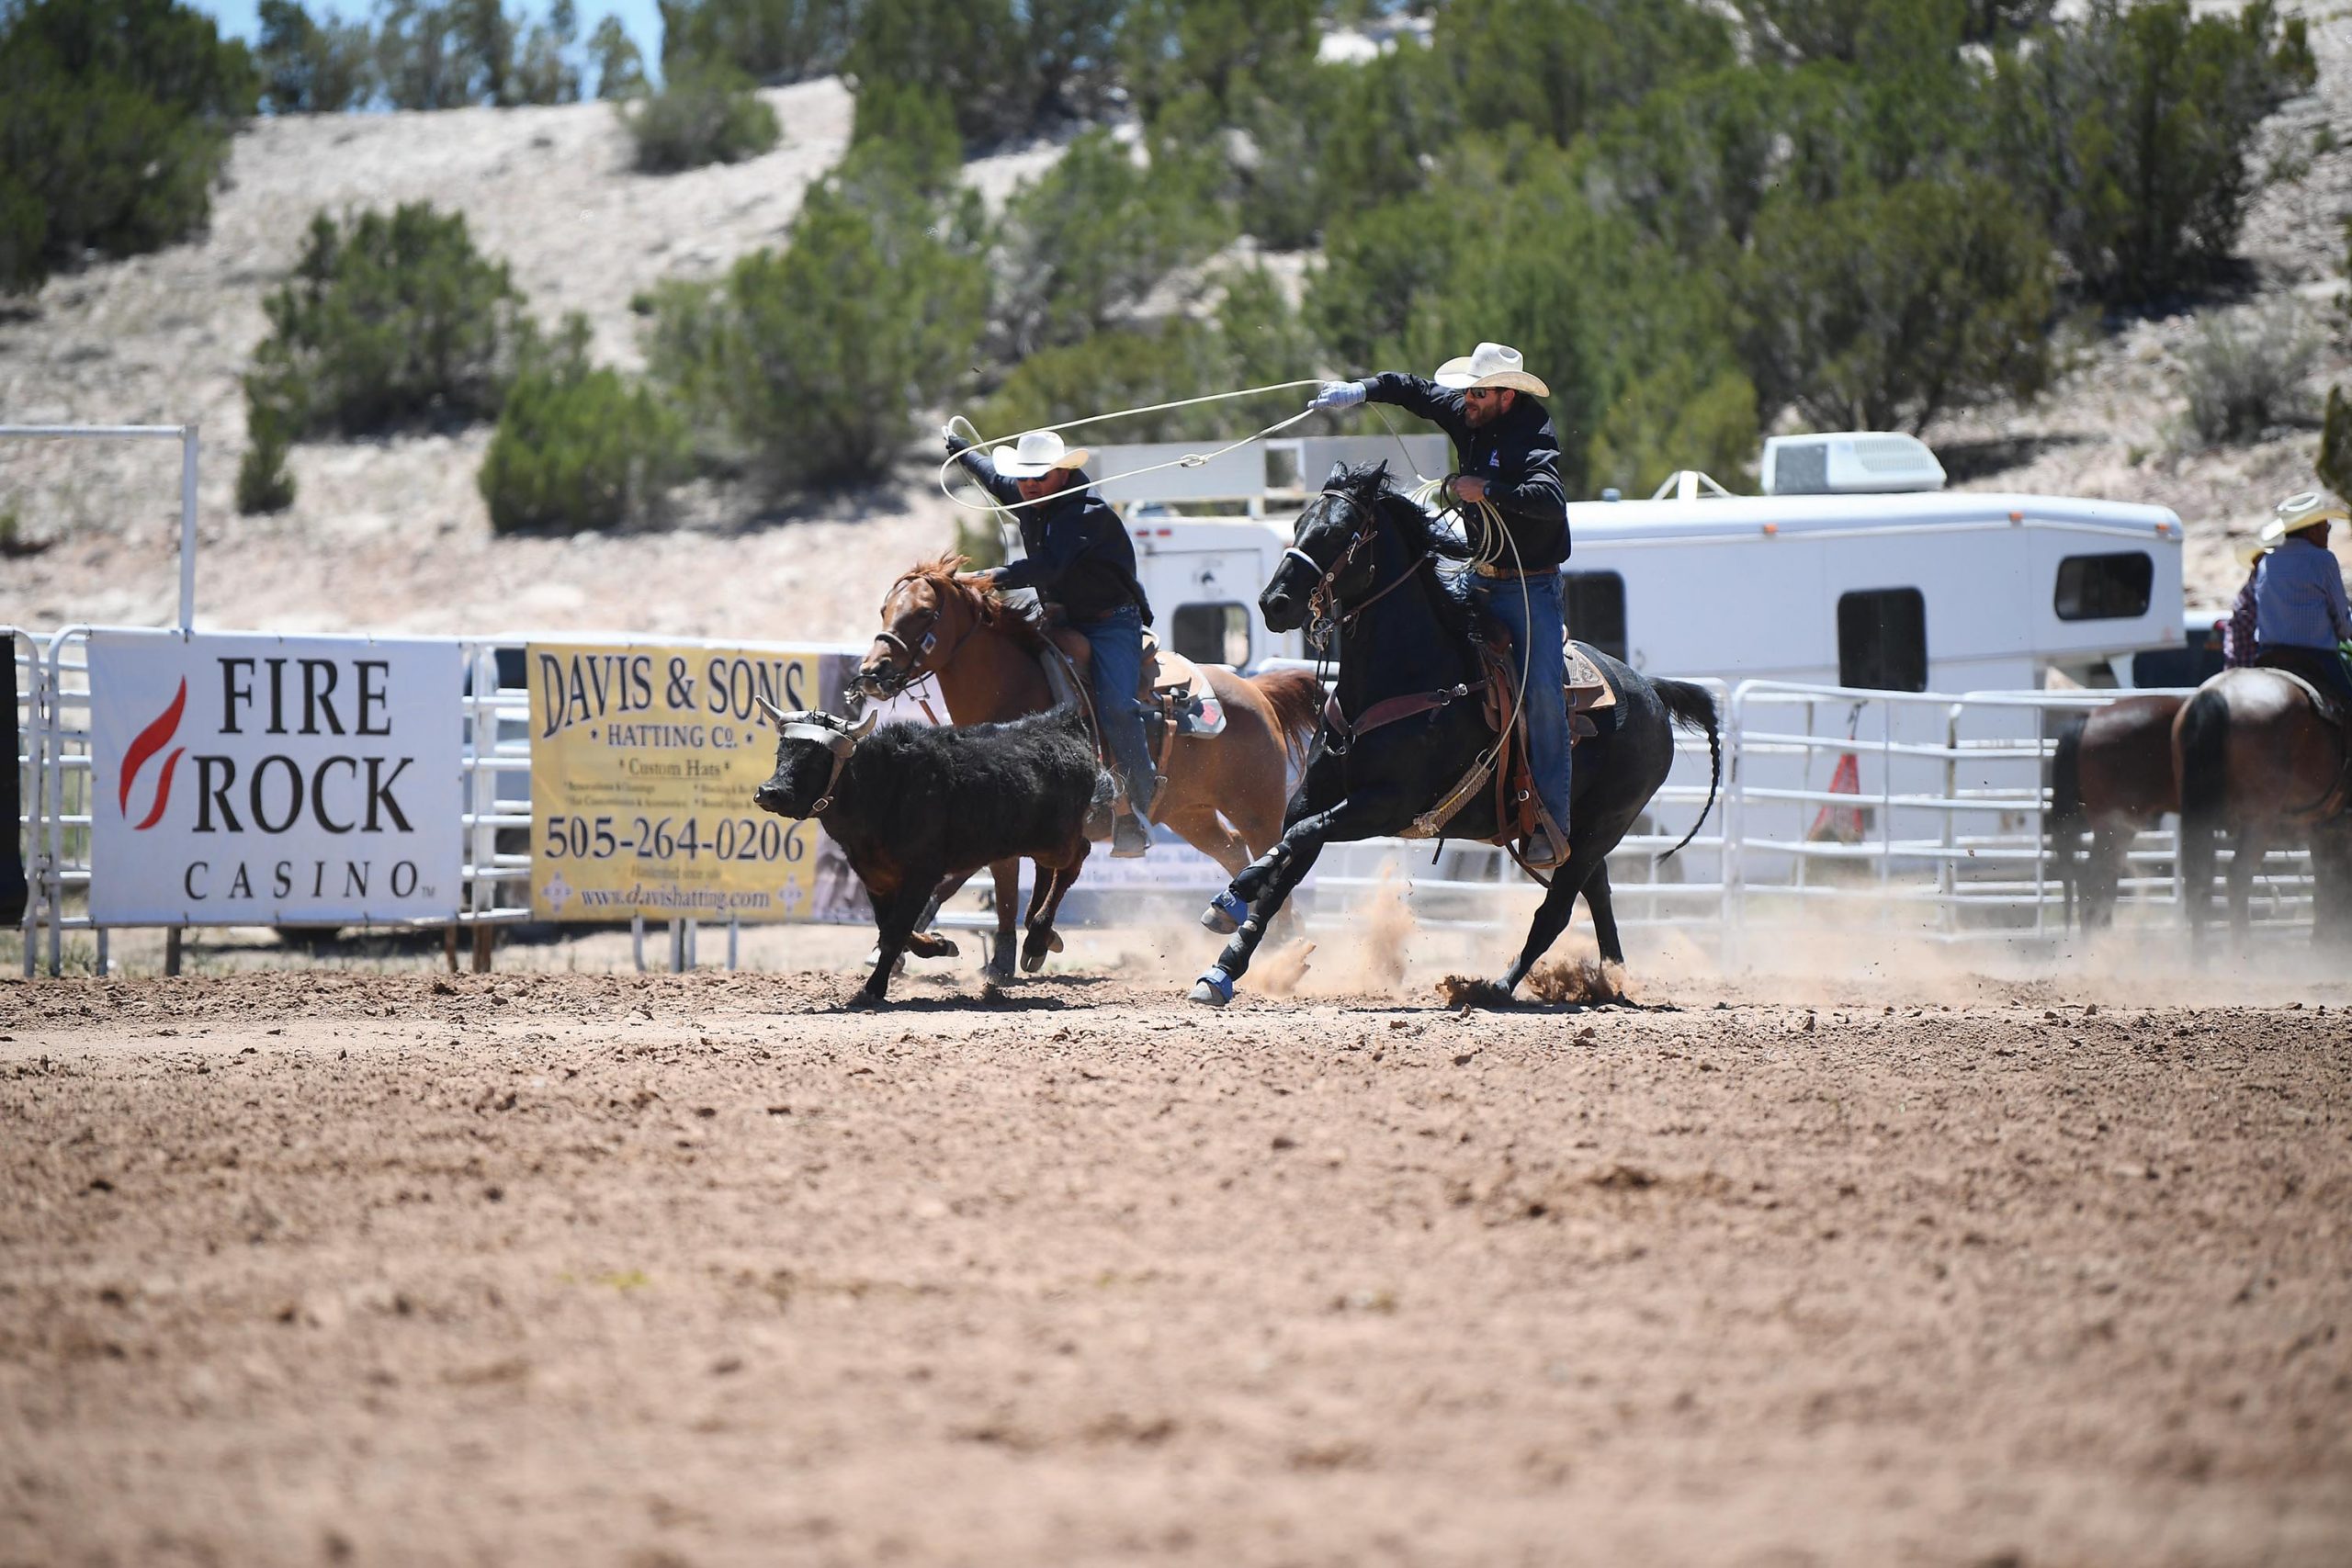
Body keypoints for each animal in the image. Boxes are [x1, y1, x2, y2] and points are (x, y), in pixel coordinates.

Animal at [851, 554, 1336, 982]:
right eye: (884, 608)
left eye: (924, 613)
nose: (872, 671)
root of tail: (1256, 690)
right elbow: (973, 881)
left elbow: (1009, 878)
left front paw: (1024, 948)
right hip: (1190, 814)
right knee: (1234, 850)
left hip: (1256, 806)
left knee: (1272, 851)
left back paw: (1287, 946)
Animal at [1194, 460, 1712, 1010]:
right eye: (1298, 525)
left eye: (1340, 532)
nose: (1274, 603)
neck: (1407, 675)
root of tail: (1653, 693)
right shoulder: (1314, 795)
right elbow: (1287, 859)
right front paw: (1224, 964)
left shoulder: (1388, 804)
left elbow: (1297, 839)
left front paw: (1236, 889)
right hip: (1584, 832)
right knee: (1600, 897)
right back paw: (1608, 982)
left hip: (1605, 824)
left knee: (1558, 908)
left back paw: (1499, 987)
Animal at [2164, 667, 2352, 949]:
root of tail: (2217, 695)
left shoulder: (2323, 830)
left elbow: (2328, 884)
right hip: (2258, 820)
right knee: (2238, 876)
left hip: (2199, 813)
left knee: (2198, 878)